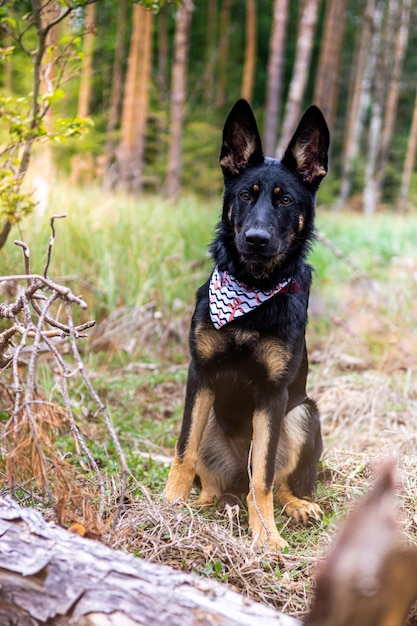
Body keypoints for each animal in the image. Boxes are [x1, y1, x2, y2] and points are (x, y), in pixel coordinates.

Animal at [162, 97, 328, 544]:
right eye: (245, 196)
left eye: (285, 201)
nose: (255, 239)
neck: (251, 292)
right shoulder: (200, 375)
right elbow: (183, 451)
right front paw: (166, 506)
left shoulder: (273, 396)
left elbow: (264, 477)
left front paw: (266, 536)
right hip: (212, 426)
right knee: (210, 483)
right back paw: (198, 504)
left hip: (302, 415)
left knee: (272, 481)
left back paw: (296, 506)